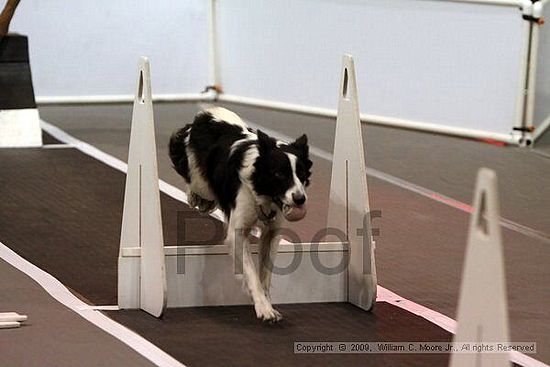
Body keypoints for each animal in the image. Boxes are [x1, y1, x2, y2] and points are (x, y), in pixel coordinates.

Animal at [169, 107, 310, 322]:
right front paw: (264, 308)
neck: (263, 191)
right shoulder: (238, 232)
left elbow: (265, 271)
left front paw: (268, 302)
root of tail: (206, 113)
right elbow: (251, 272)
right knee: (195, 184)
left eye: (301, 174)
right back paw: (196, 198)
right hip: (200, 180)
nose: (300, 199)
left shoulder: (273, 230)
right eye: (279, 174)